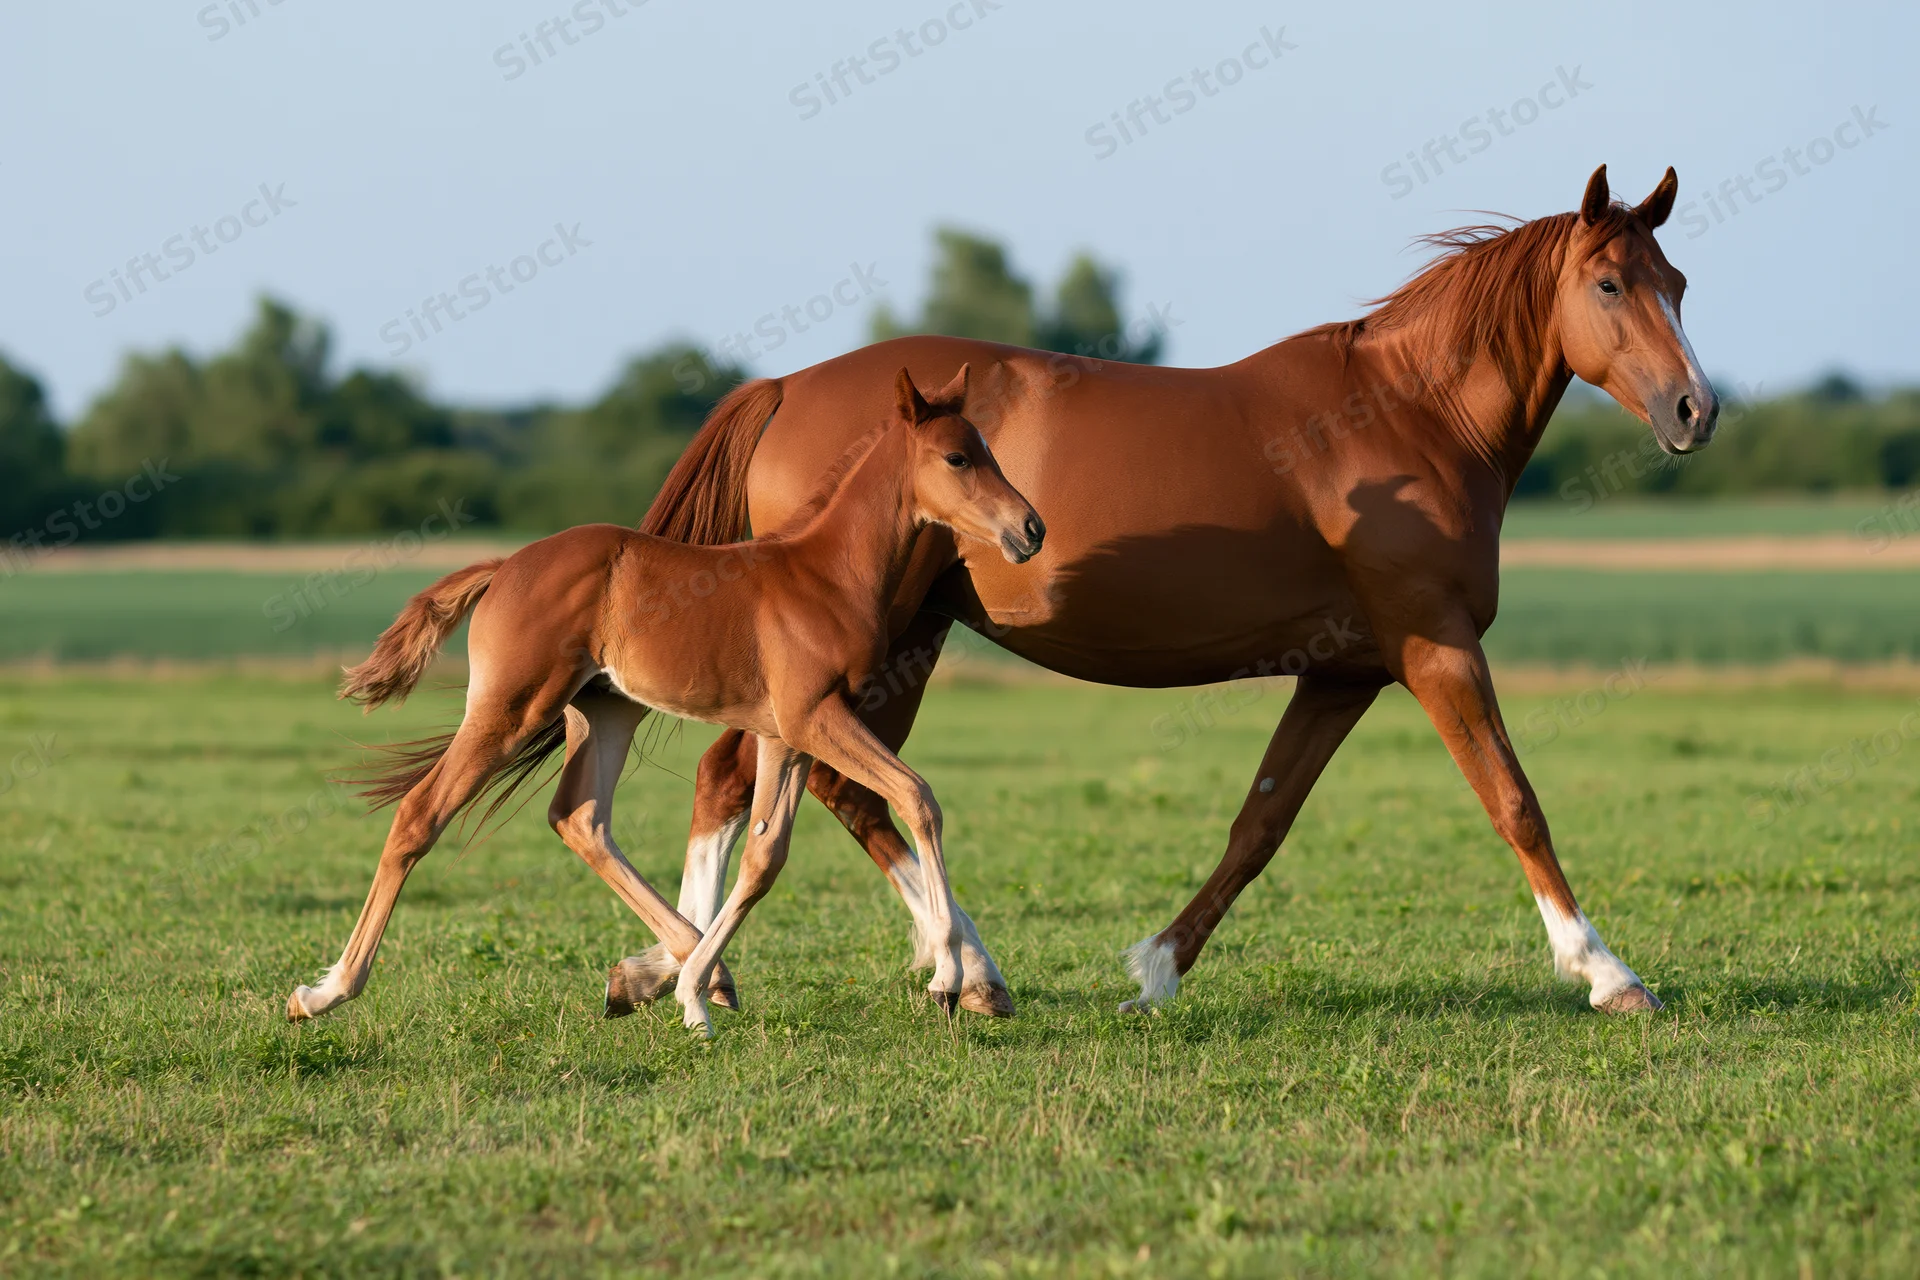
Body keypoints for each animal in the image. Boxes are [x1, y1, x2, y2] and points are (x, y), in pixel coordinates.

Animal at [285, 366, 1046, 1035]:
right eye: (957, 457)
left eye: (989, 449)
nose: (1032, 528)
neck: (827, 573)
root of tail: (505, 567)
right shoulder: (814, 717)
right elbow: (918, 797)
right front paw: (948, 977)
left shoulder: (786, 735)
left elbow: (765, 858)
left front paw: (693, 996)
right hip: (510, 708)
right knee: (421, 815)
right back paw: (325, 992)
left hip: (605, 710)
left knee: (579, 818)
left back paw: (702, 974)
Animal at [619, 164, 1716, 1018]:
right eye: (1609, 282)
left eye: (1677, 282)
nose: (1695, 410)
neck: (1412, 416)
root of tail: (784, 389)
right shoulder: (1435, 644)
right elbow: (1514, 800)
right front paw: (1608, 973)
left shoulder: (1346, 673)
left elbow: (1259, 824)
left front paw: (1155, 970)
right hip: (877, 647)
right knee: (823, 787)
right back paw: (907, 968)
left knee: (757, 782)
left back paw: (695, 967)